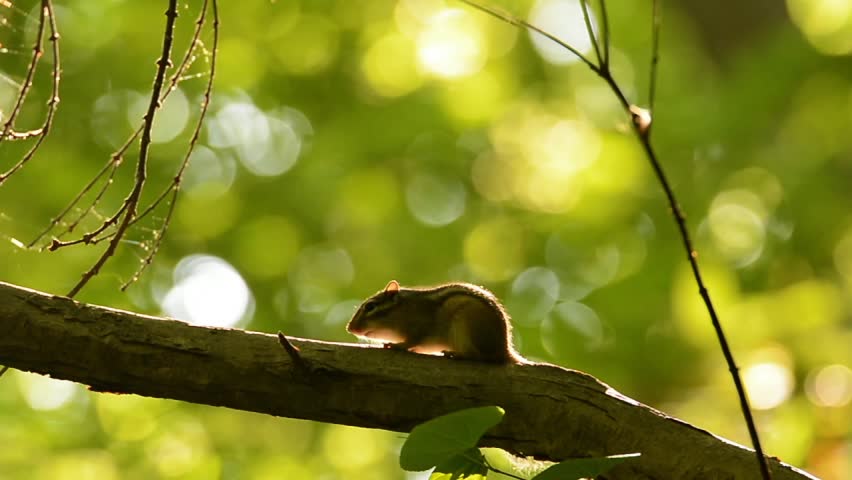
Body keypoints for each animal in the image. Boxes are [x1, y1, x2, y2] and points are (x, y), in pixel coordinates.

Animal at [346, 280, 524, 364]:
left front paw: (398, 345)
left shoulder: (421, 328)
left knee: (480, 357)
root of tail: (505, 350)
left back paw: (457, 354)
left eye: (370, 306)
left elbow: (413, 340)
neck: (402, 312)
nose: (350, 328)